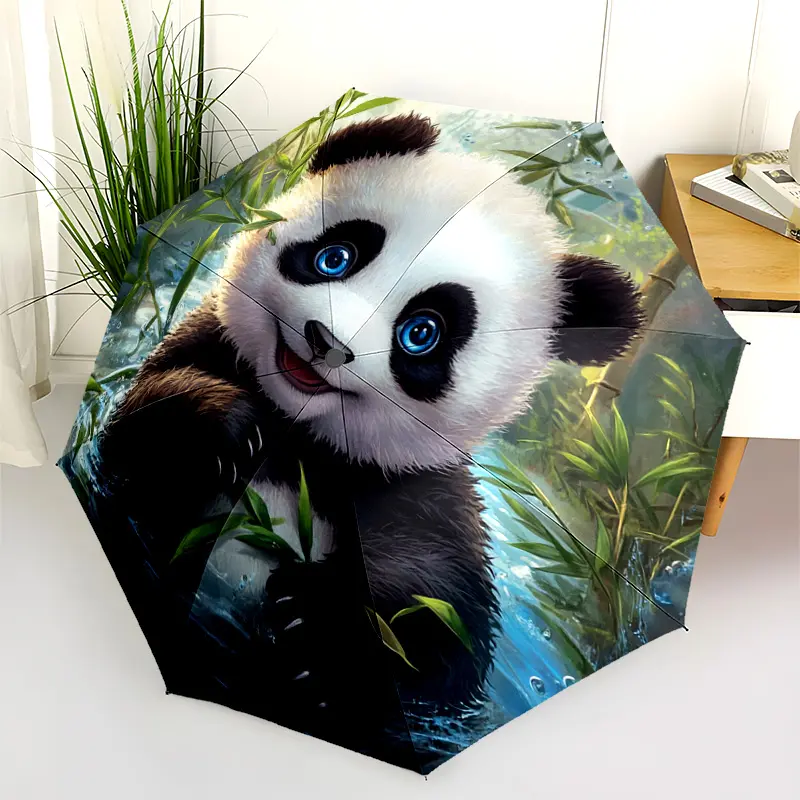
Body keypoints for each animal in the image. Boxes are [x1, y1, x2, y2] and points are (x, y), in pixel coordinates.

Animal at [97, 113, 643, 755]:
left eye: (422, 333)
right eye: (336, 257)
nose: (324, 341)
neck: (300, 436)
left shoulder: (424, 496)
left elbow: (437, 635)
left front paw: (317, 628)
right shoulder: (204, 353)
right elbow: (129, 443)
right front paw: (227, 431)